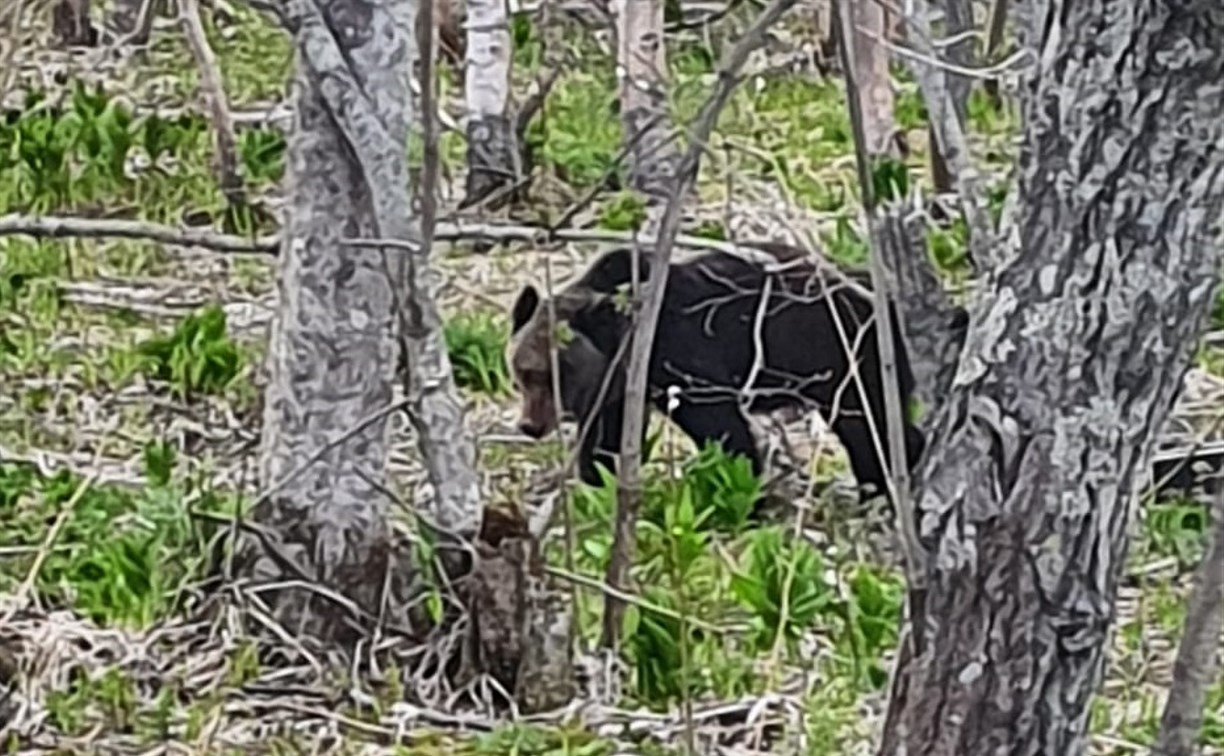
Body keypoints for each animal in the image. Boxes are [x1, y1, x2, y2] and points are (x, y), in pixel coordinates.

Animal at [506, 240, 925, 501]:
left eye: (554, 373)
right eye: (523, 372)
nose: (530, 424)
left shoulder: (682, 355)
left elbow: (723, 428)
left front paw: (746, 492)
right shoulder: (619, 391)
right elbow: (604, 443)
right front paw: (598, 485)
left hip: (850, 355)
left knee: (868, 425)